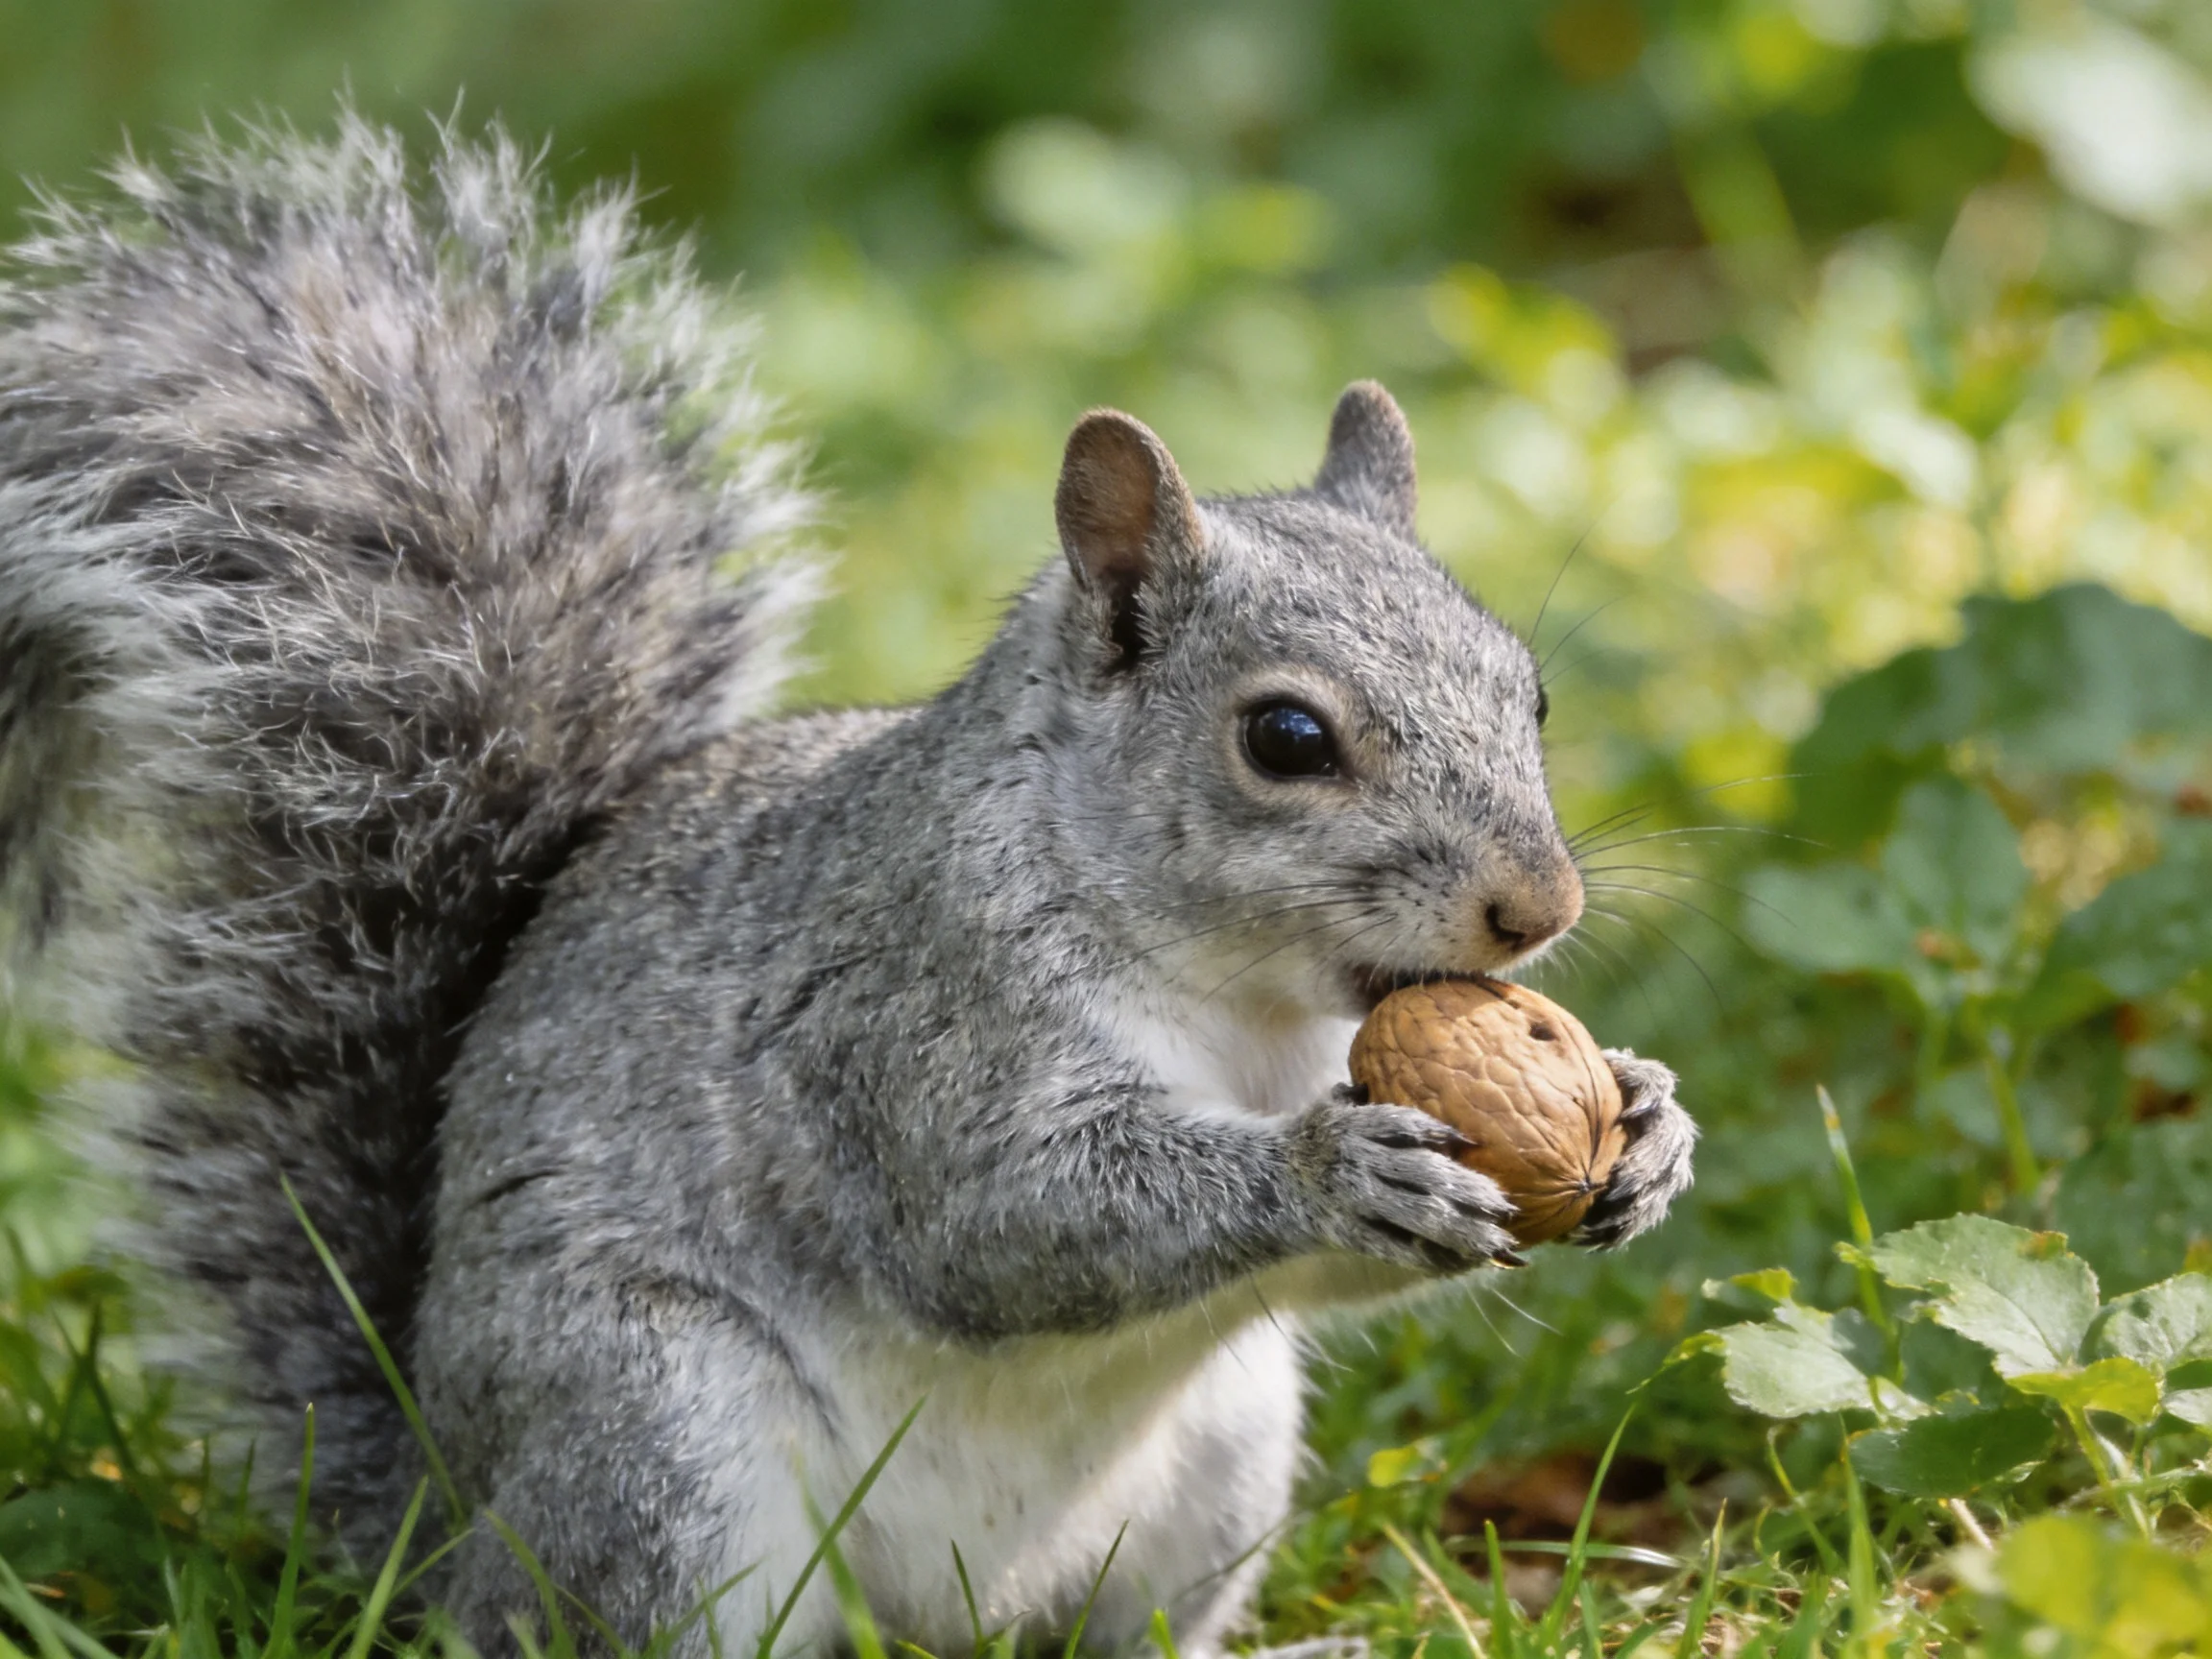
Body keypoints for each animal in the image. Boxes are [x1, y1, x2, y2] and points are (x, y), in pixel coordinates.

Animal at [0, 116, 1695, 1653]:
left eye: (1530, 690)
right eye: (1286, 739)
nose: (1539, 912)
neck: (1252, 1004)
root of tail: (446, 1517)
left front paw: (1647, 1119)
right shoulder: (908, 1019)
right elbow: (1003, 1220)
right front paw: (1334, 1172)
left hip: (1221, 1455)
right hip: (660, 1441)